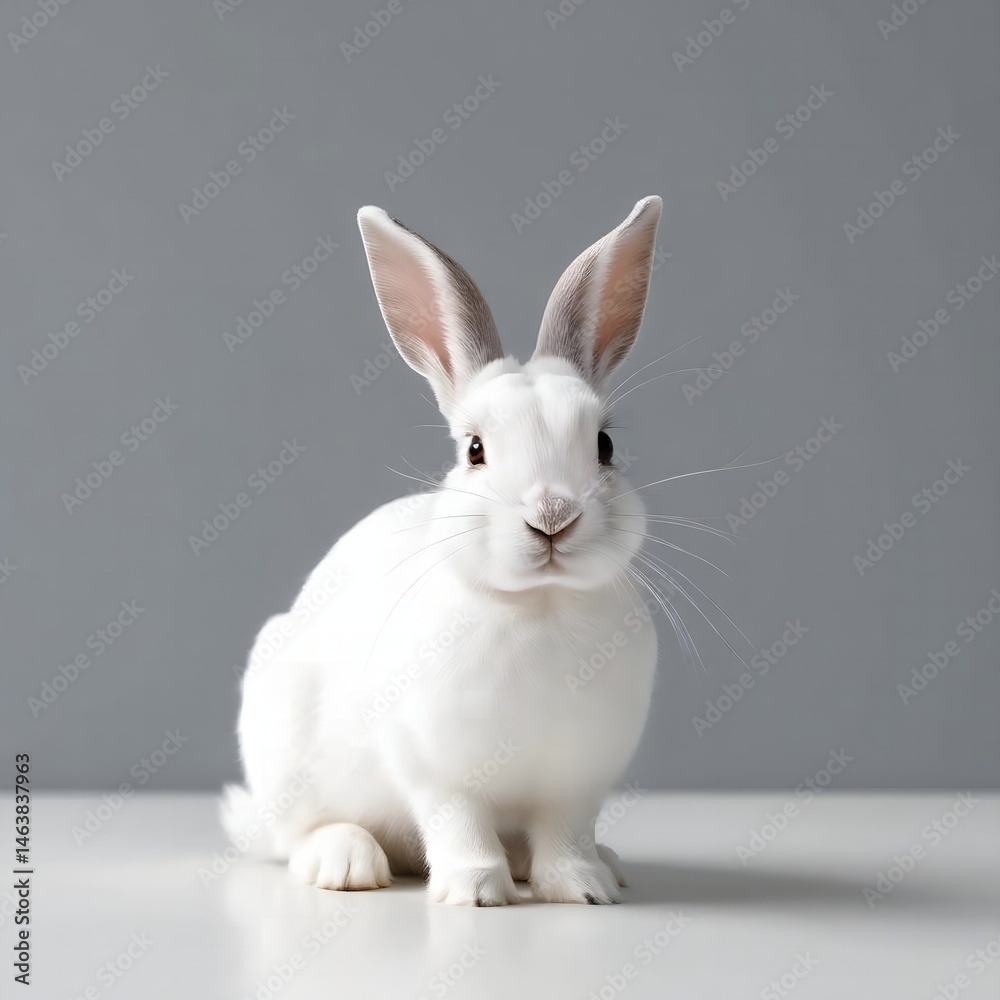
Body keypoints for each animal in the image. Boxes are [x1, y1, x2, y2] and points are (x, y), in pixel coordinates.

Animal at [223, 196, 663, 905]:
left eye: (604, 445)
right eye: (475, 449)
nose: (552, 517)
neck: (538, 605)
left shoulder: (575, 782)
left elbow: (566, 837)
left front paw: (584, 888)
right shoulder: (438, 769)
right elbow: (460, 825)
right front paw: (477, 892)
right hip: (285, 751)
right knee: (300, 835)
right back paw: (346, 863)